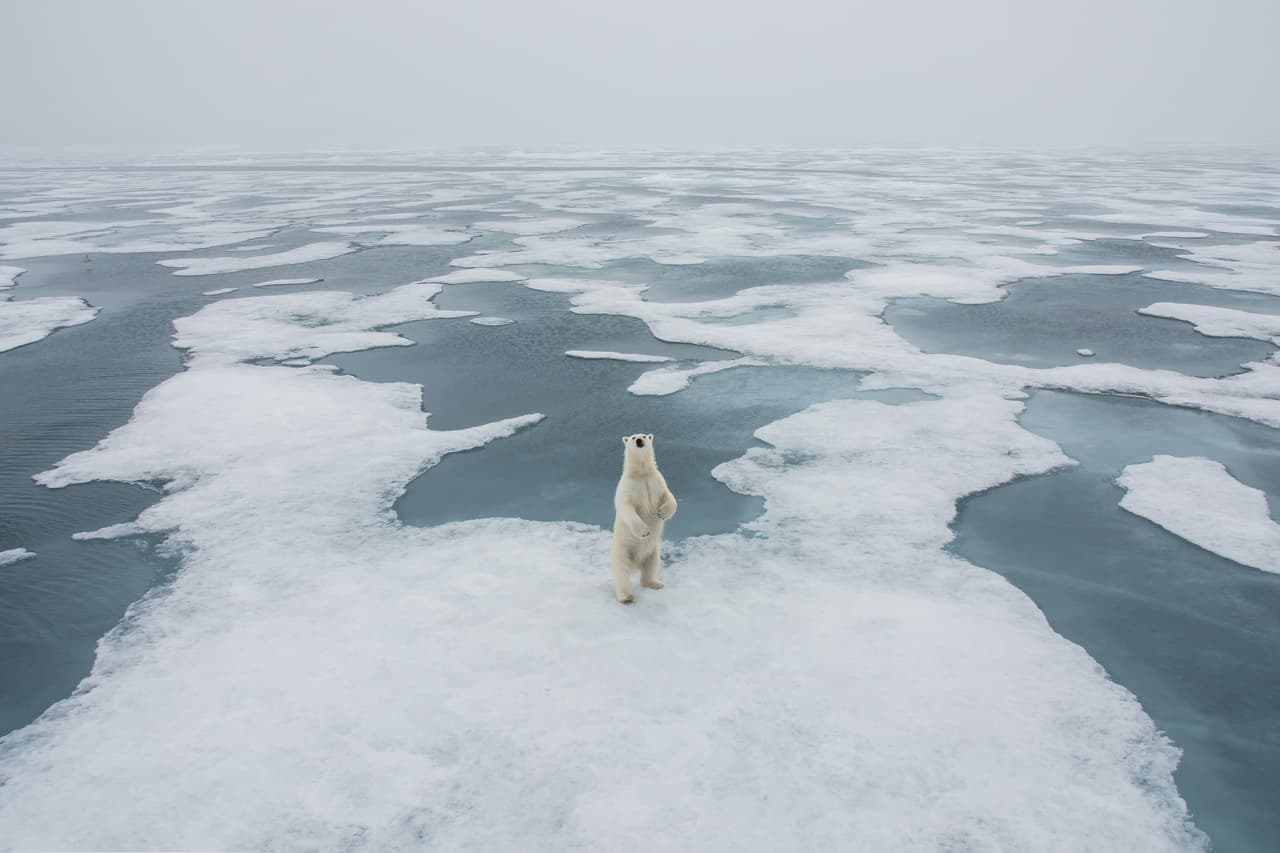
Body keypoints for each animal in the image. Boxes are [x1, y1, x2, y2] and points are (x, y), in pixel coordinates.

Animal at [610, 433, 678, 603]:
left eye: (645, 436)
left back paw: (655, 583)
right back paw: (625, 596)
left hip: (653, 550)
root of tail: (636, 564)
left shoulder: (656, 481)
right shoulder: (627, 487)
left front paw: (663, 513)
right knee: (622, 571)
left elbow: (668, 495)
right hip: (622, 550)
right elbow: (625, 507)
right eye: (633, 437)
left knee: (651, 566)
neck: (641, 474)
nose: (640, 440)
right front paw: (644, 531)